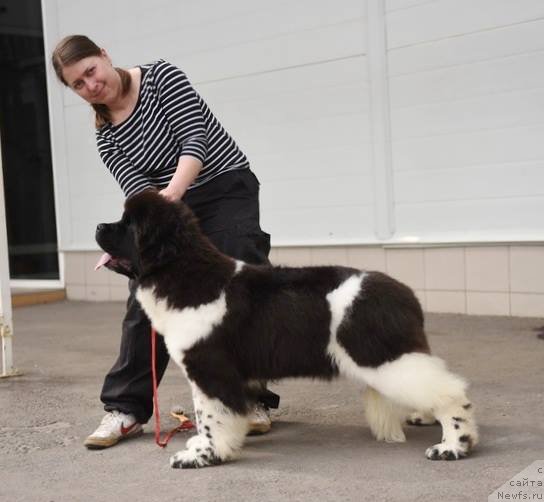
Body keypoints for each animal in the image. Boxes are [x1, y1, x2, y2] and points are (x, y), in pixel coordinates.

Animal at [95, 190, 478, 468]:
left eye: (127, 225)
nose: (98, 226)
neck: (184, 272)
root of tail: (407, 294)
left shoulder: (210, 368)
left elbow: (210, 416)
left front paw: (203, 456)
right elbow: (210, 415)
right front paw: (205, 447)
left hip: (381, 357)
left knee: (450, 392)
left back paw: (455, 445)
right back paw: (424, 418)